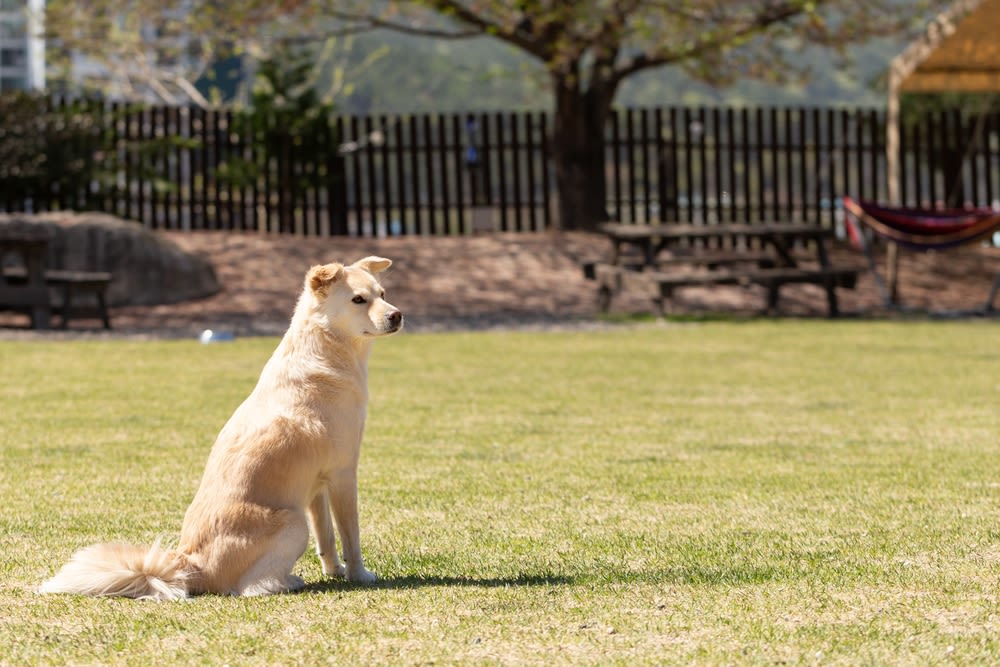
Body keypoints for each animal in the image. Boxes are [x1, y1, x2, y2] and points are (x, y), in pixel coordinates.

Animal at [42, 256, 402, 600]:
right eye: (358, 299)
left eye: (383, 294)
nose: (397, 315)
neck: (326, 348)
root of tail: (190, 565)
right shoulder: (343, 474)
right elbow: (350, 534)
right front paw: (359, 575)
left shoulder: (316, 485)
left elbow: (326, 536)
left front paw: (335, 571)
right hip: (293, 522)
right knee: (250, 587)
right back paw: (287, 582)